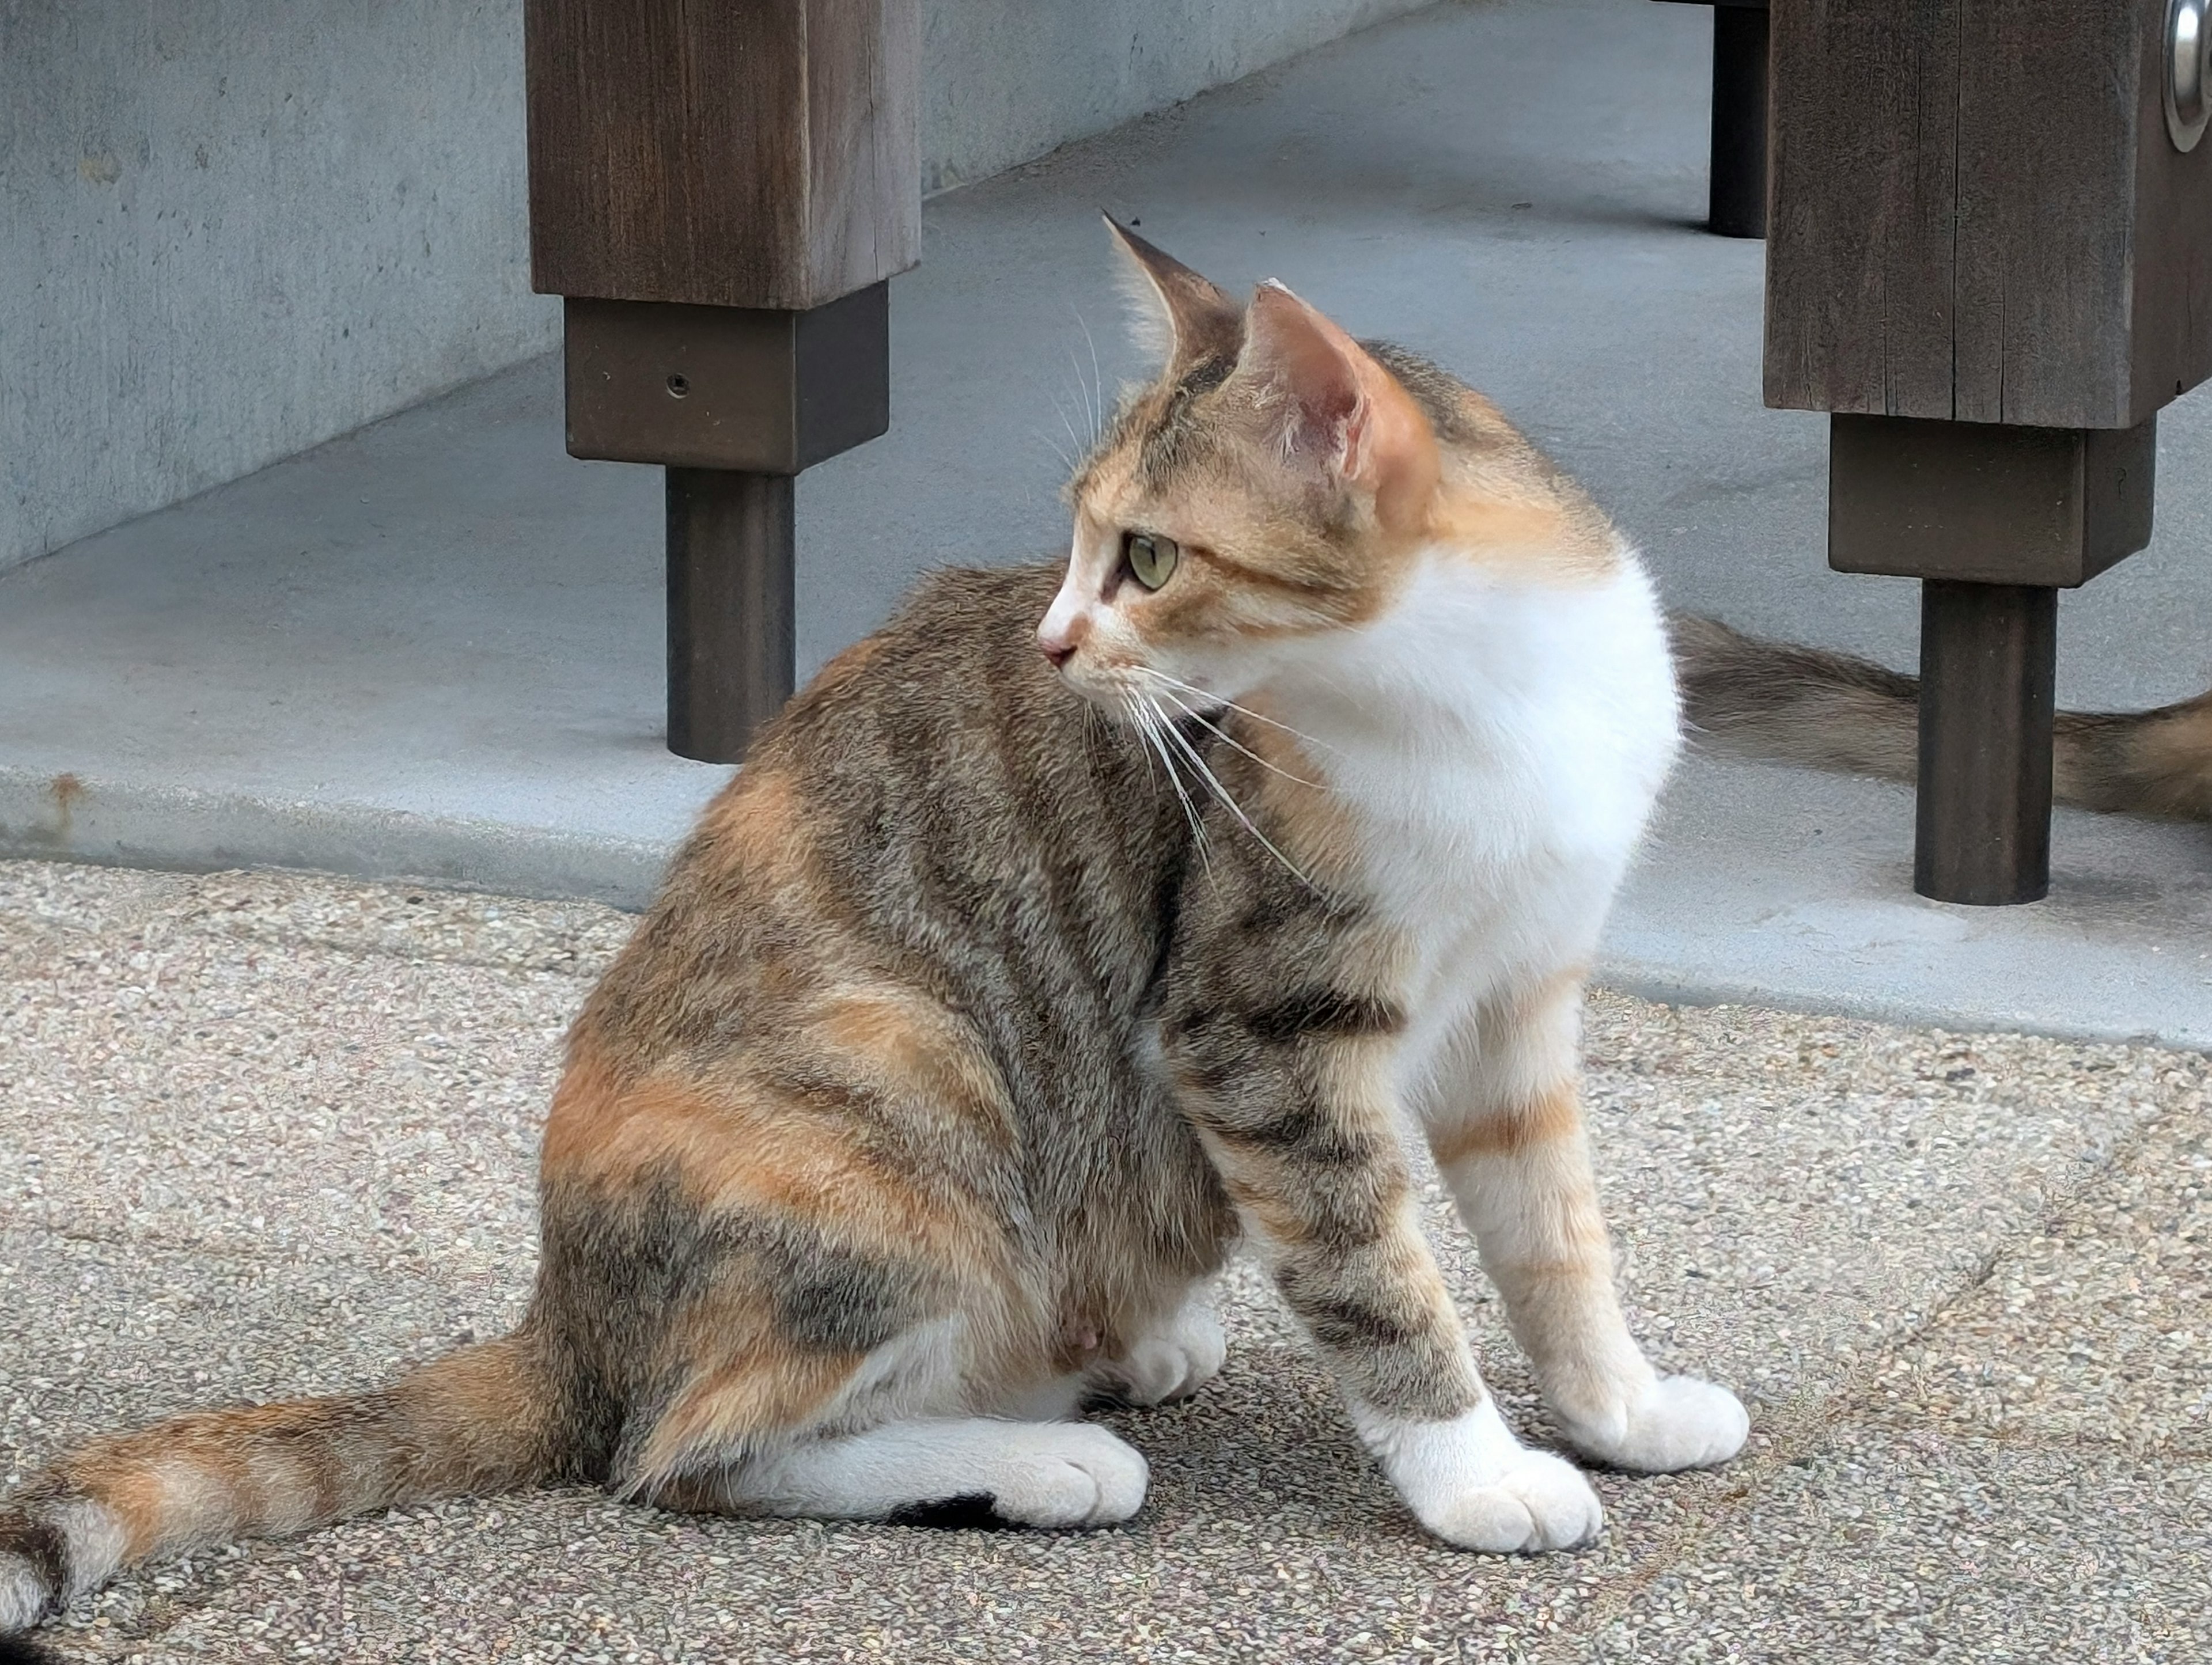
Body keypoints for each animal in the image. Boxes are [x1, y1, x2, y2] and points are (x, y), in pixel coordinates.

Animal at [0, 224, 1752, 1636]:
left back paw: (1123, 1354)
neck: (1481, 707)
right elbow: (1380, 1273)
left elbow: (1555, 1243)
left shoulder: (1518, 1004)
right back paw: (1045, 1459)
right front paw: (1475, 1475)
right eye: (1080, 540)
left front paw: (1619, 1410)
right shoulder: (1259, 1033)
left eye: (1150, 554)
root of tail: (570, 1327)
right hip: (905, 1082)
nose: (1052, 643)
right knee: (688, 1449)